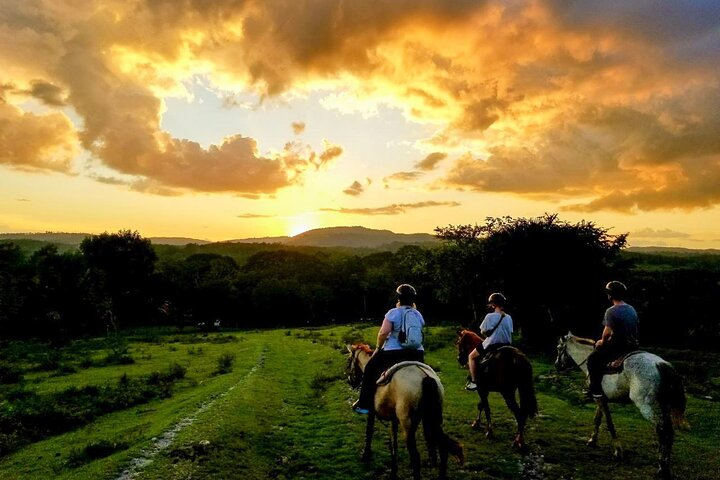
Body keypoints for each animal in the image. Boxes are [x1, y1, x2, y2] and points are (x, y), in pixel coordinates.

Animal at [556, 332, 688, 478]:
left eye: (558, 348)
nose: (557, 365)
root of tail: (661, 364)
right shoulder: (601, 398)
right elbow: (597, 419)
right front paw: (592, 440)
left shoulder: (599, 399)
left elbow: (609, 423)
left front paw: (618, 451)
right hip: (663, 406)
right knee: (669, 432)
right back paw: (665, 468)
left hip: (647, 407)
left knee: (663, 430)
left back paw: (662, 468)